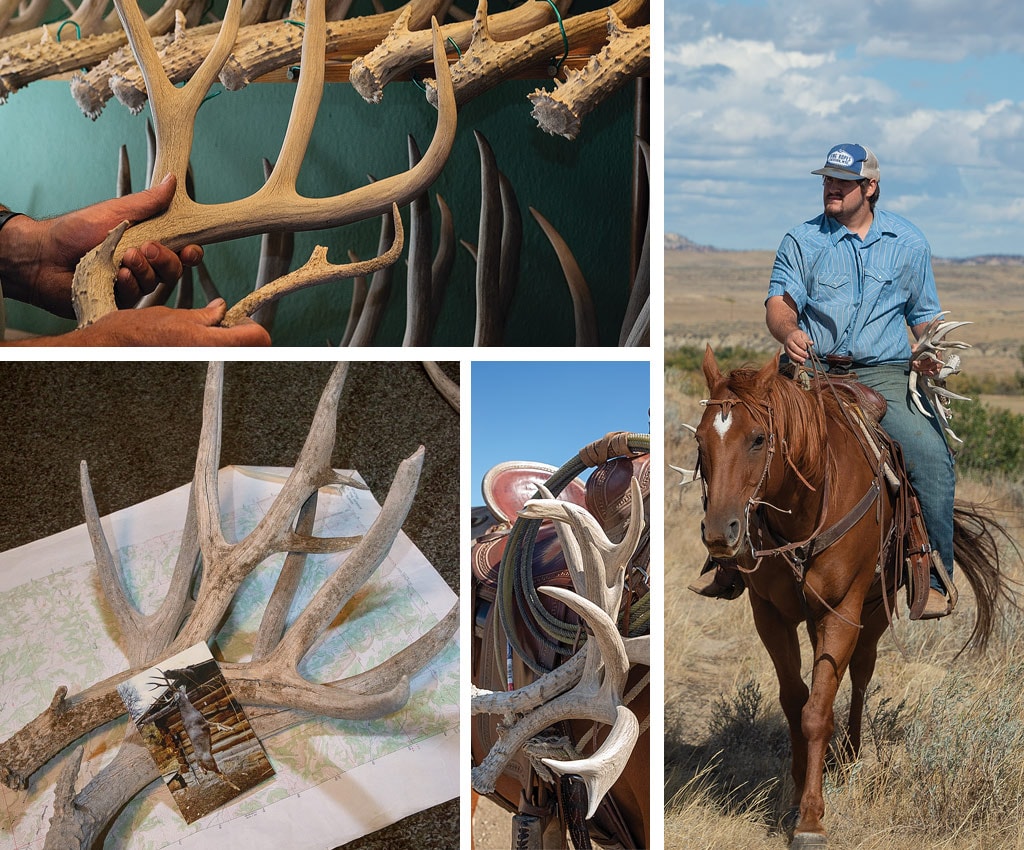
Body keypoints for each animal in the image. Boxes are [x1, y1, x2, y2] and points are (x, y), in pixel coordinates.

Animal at [692, 348, 1003, 850]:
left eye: (759, 438)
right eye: (701, 440)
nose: (721, 534)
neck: (807, 505)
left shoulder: (842, 612)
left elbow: (818, 712)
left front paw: (811, 820)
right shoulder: (771, 616)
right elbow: (795, 702)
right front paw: (795, 792)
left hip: (874, 612)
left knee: (860, 673)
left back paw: (851, 757)